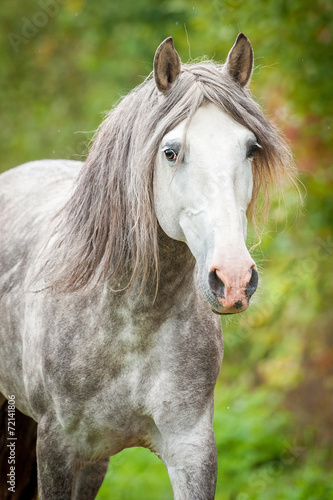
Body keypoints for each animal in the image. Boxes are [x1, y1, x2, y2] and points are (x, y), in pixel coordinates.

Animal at [0, 35, 296, 500]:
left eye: (251, 149)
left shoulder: (191, 448)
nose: (233, 280)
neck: (133, 319)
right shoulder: (56, 448)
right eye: (171, 152)